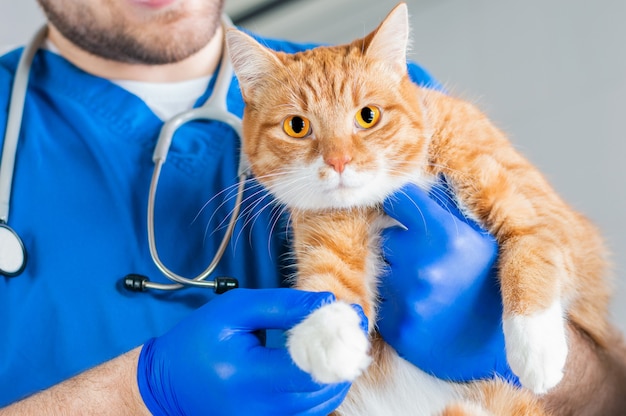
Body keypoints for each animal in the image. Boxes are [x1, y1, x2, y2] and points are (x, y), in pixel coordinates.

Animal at [224, 4, 608, 416]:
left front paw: (536, 348)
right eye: (297, 126)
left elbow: (530, 251)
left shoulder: (540, 212)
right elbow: (328, 282)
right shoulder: (328, 234)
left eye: (368, 116)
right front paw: (327, 337)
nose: (339, 161)